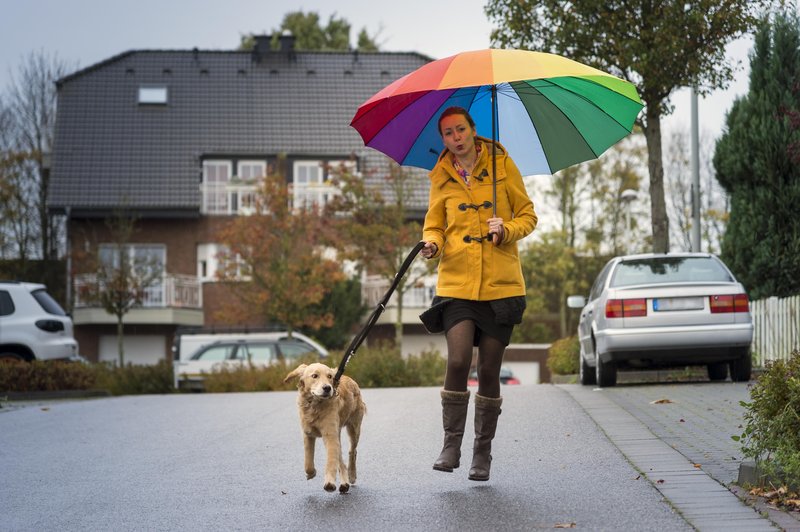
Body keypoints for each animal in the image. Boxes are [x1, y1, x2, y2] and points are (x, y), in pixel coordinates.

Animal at [282, 364, 368, 492]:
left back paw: (351, 475)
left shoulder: (330, 435)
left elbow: (331, 461)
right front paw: (311, 473)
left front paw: (329, 482)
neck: (315, 405)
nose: (327, 388)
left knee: (352, 451)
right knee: (341, 458)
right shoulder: (308, 434)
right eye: (314, 376)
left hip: (354, 429)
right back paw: (344, 483)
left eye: (330, 376)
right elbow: (308, 462)